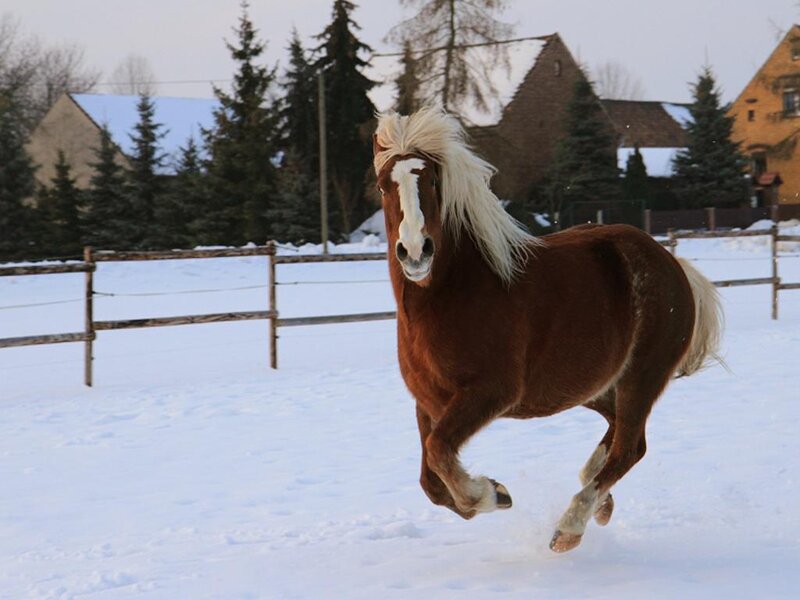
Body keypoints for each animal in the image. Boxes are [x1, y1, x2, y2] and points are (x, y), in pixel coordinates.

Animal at [372, 107, 723, 553]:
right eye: (384, 185)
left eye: (432, 179)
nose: (416, 252)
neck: (453, 295)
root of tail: (672, 264)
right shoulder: (429, 404)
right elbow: (431, 482)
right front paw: (494, 492)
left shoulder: (490, 393)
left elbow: (439, 456)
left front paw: (493, 493)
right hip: (595, 386)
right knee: (619, 439)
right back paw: (599, 499)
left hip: (642, 377)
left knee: (630, 448)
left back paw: (570, 527)